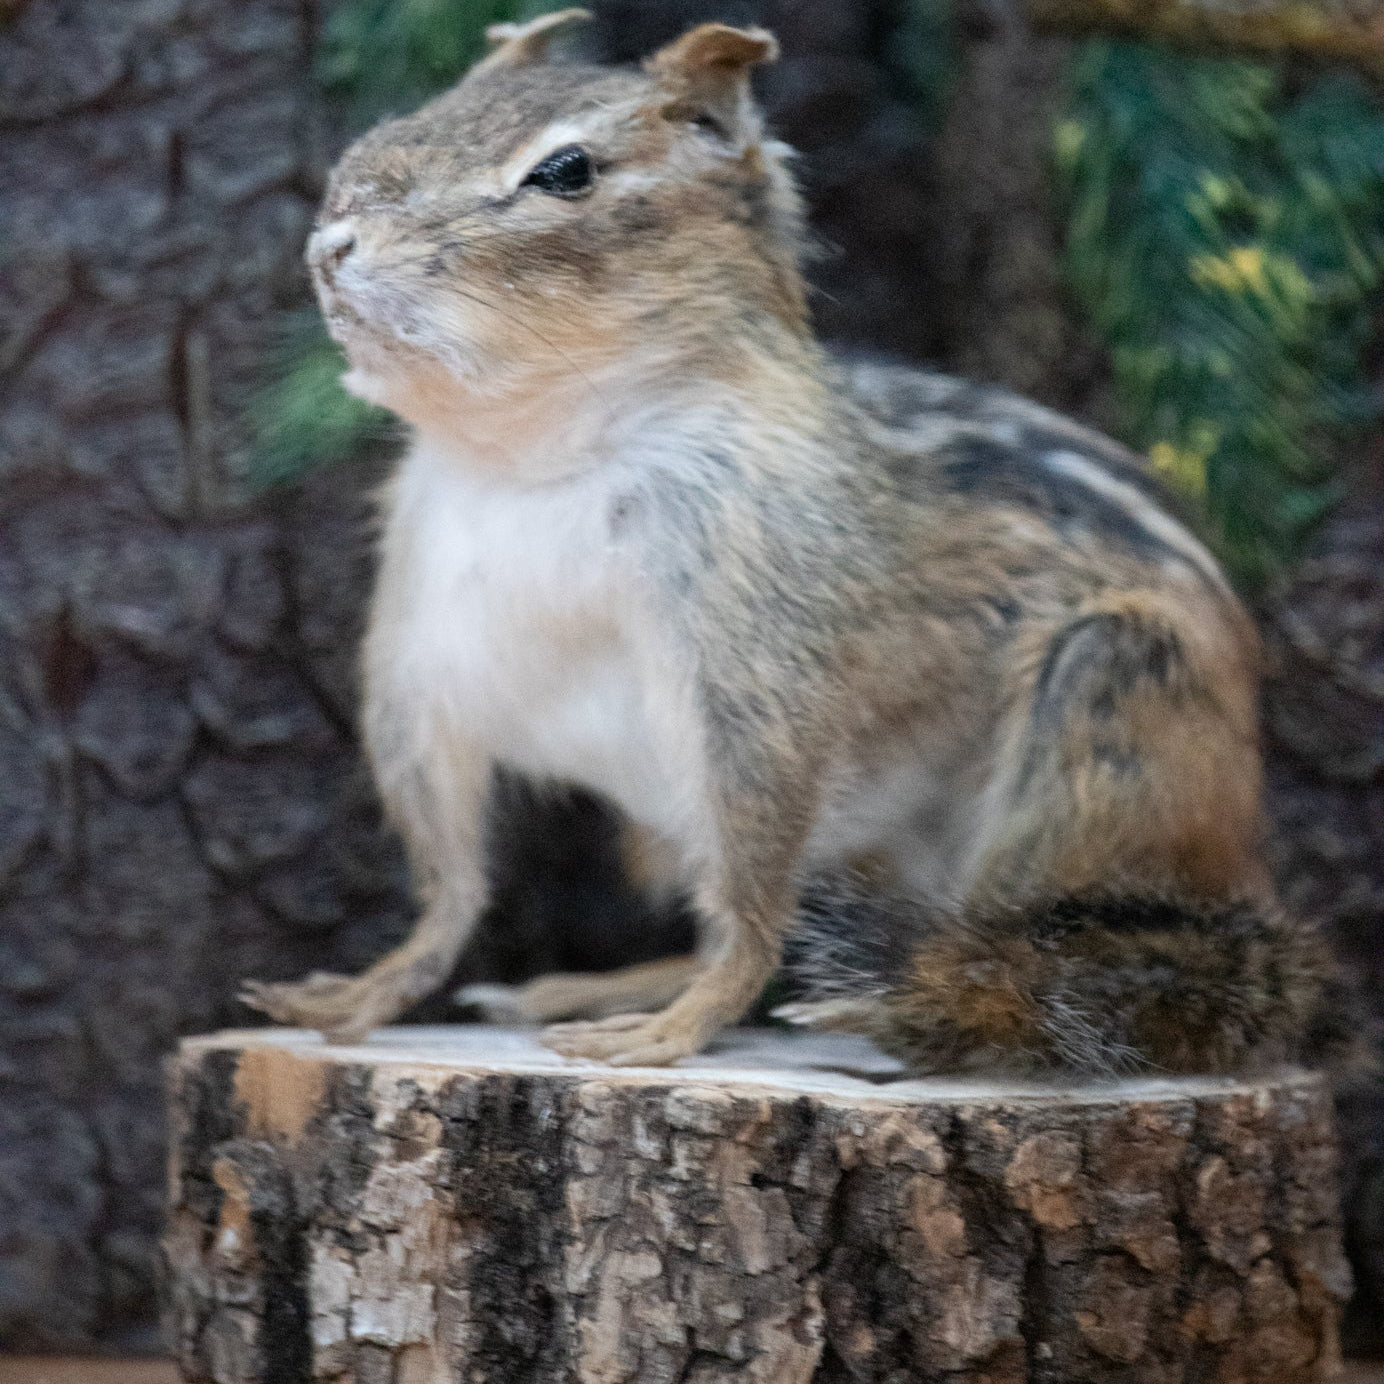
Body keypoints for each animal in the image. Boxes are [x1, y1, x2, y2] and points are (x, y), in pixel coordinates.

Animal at [242, 10, 1350, 1075]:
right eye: (395, 125)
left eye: (566, 171)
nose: (331, 245)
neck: (541, 458)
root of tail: (1240, 856)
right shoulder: (423, 656)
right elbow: (451, 885)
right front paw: (370, 990)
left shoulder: (758, 667)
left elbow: (755, 879)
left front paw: (682, 1028)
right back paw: (596, 987)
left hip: (1108, 716)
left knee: (1032, 956)